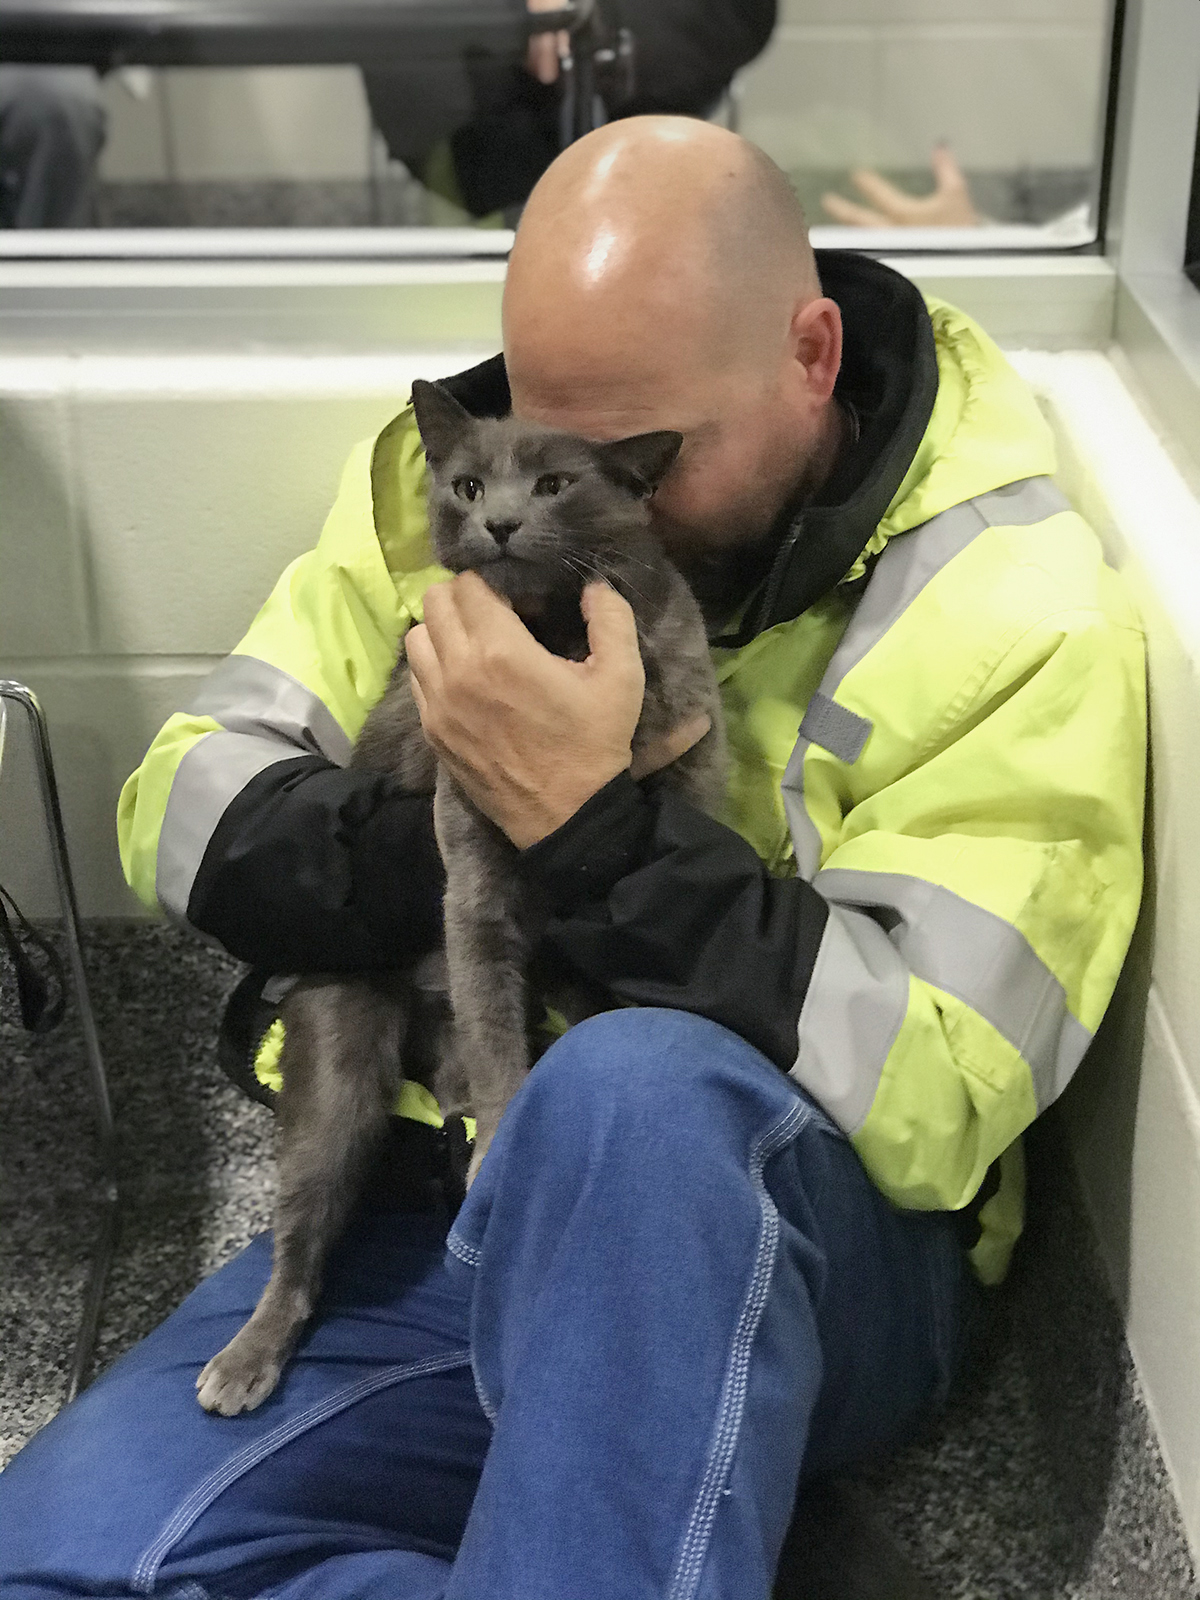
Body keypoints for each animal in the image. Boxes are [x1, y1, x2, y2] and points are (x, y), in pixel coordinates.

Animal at [197, 374, 729, 1414]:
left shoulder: (690, 754)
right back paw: (244, 1359)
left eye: (556, 483)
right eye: (468, 484)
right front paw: (498, 1148)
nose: (502, 521)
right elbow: (497, 1033)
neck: (555, 636)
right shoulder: (470, 867)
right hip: (339, 1046)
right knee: (306, 1227)